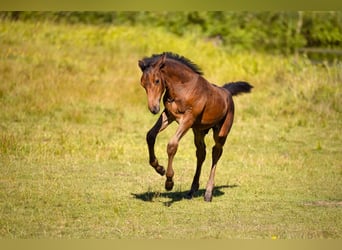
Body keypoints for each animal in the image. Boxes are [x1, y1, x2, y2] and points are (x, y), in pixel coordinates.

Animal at [138, 52, 252, 201]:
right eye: (142, 84)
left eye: (157, 80)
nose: (153, 108)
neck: (183, 88)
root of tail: (227, 92)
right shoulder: (169, 115)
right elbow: (150, 135)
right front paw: (159, 168)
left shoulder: (188, 118)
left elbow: (172, 145)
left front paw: (169, 182)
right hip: (198, 131)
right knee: (201, 153)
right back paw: (192, 189)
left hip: (221, 132)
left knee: (216, 152)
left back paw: (208, 193)